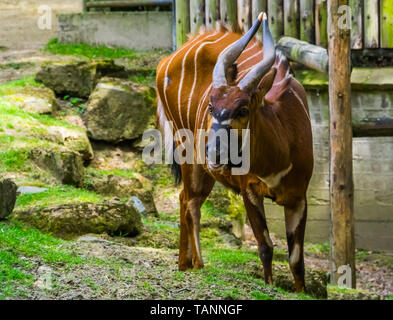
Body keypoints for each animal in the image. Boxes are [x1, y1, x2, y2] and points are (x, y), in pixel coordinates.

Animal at [155, 13, 312, 292]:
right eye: (210, 106)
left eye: (243, 110)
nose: (213, 153)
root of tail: (167, 60)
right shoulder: (249, 190)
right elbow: (265, 247)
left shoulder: (298, 197)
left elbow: (296, 259)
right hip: (187, 155)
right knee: (191, 202)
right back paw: (198, 264)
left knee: (185, 198)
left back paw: (184, 264)